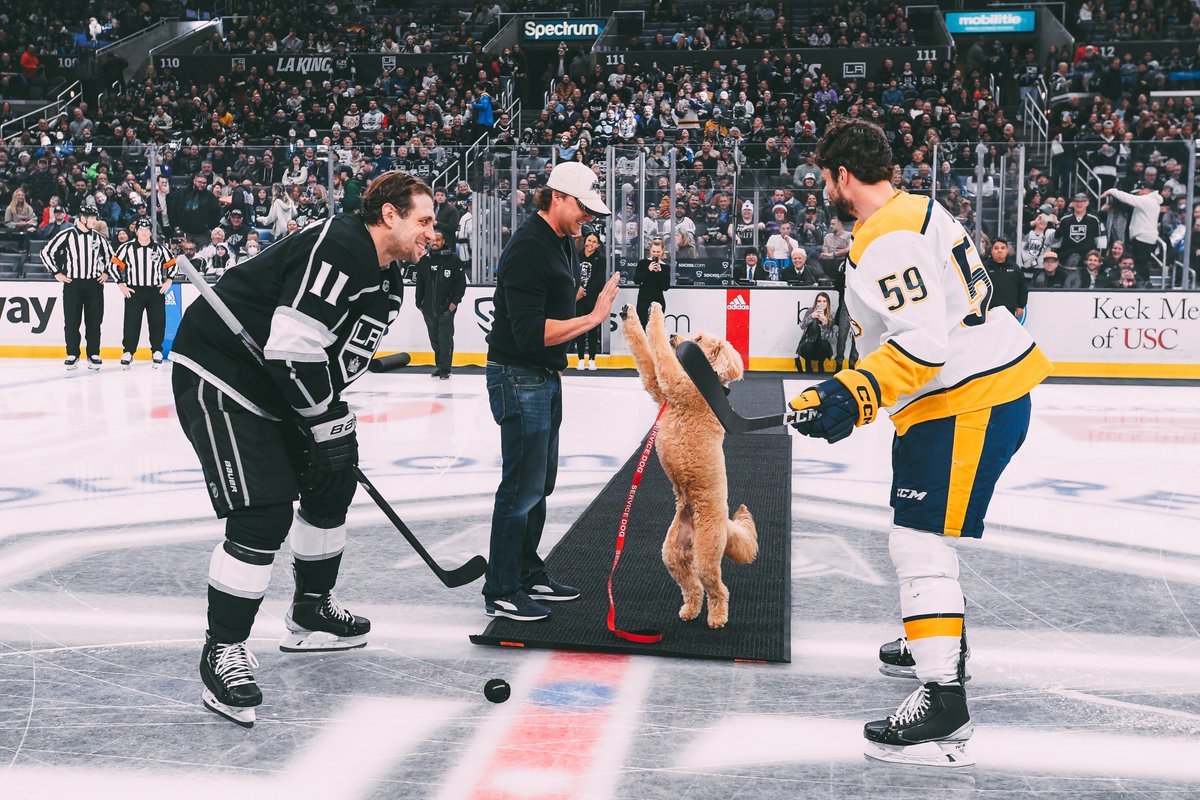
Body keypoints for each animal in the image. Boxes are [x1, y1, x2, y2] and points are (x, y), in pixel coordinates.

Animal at [619, 303, 758, 628]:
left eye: (699, 338)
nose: (675, 335)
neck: (705, 380)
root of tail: (725, 524)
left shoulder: (674, 382)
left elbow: (657, 350)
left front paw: (656, 313)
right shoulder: (659, 388)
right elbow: (644, 353)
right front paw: (632, 314)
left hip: (706, 553)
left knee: (717, 588)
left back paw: (717, 617)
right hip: (672, 553)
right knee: (692, 587)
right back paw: (689, 610)